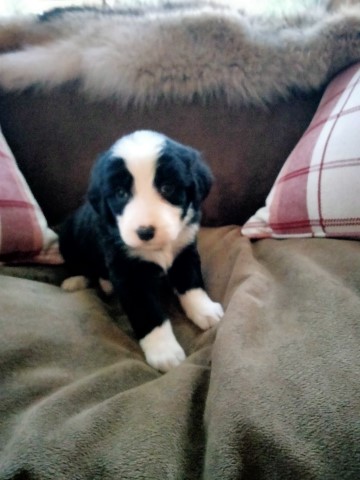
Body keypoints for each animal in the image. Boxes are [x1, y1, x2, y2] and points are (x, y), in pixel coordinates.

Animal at [58, 130, 222, 372]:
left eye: (167, 187)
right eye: (120, 193)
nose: (145, 232)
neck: (159, 248)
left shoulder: (185, 251)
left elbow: (191, 284)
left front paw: (205, 309)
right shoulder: (129, 273)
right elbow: (148, 312)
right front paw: (164, 351)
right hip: (67, 239)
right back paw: (76, 280)